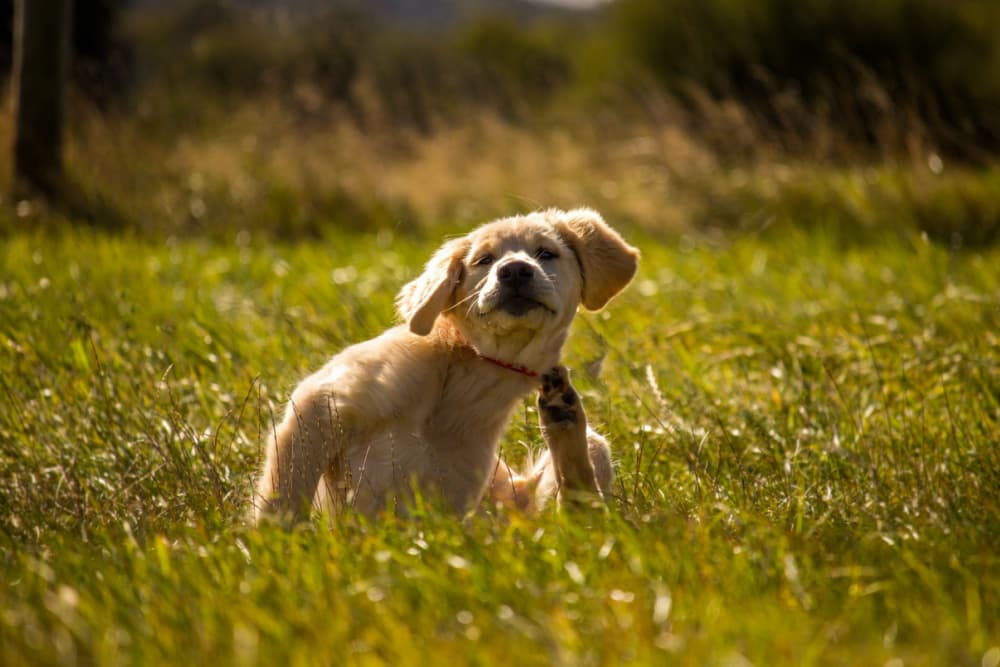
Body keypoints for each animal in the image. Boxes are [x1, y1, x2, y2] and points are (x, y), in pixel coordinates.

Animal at [254, 206, 636, 524]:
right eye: (484, 259)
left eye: (546, 253)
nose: (514, 271)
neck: (468, 375)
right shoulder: (320, 404)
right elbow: (284, 495)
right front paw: (275, 545)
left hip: (573, 463)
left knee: (578, 513)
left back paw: (562, 413)